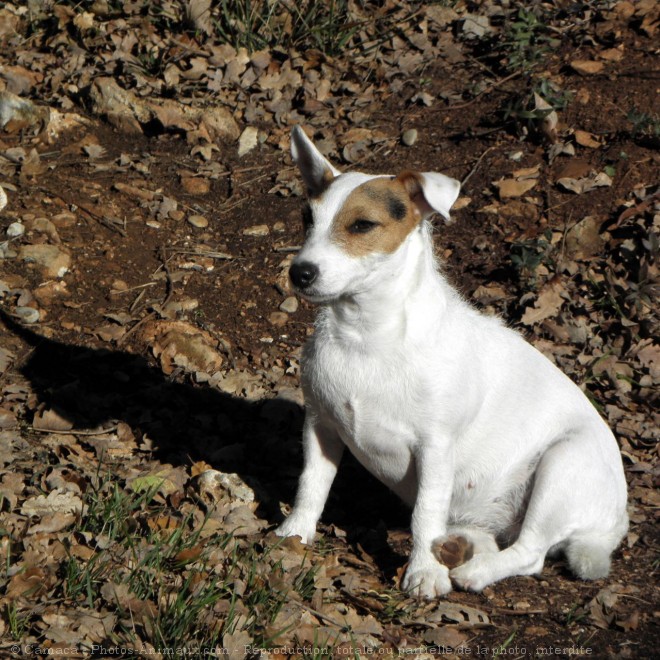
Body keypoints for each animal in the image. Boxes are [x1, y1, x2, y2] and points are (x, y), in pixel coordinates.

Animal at [274, 125, 628, 600]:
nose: (300, 273)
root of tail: (615, 525)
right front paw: (294, 534)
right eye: (306, 220)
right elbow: (311, 486)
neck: (367, 334)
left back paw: (472, 571)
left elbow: (425, 512)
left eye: (362, 225)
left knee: (530, 552)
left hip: (562, 464)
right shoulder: (321, 426)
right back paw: (459, 549)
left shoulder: (435, 449)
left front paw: (423, 572)